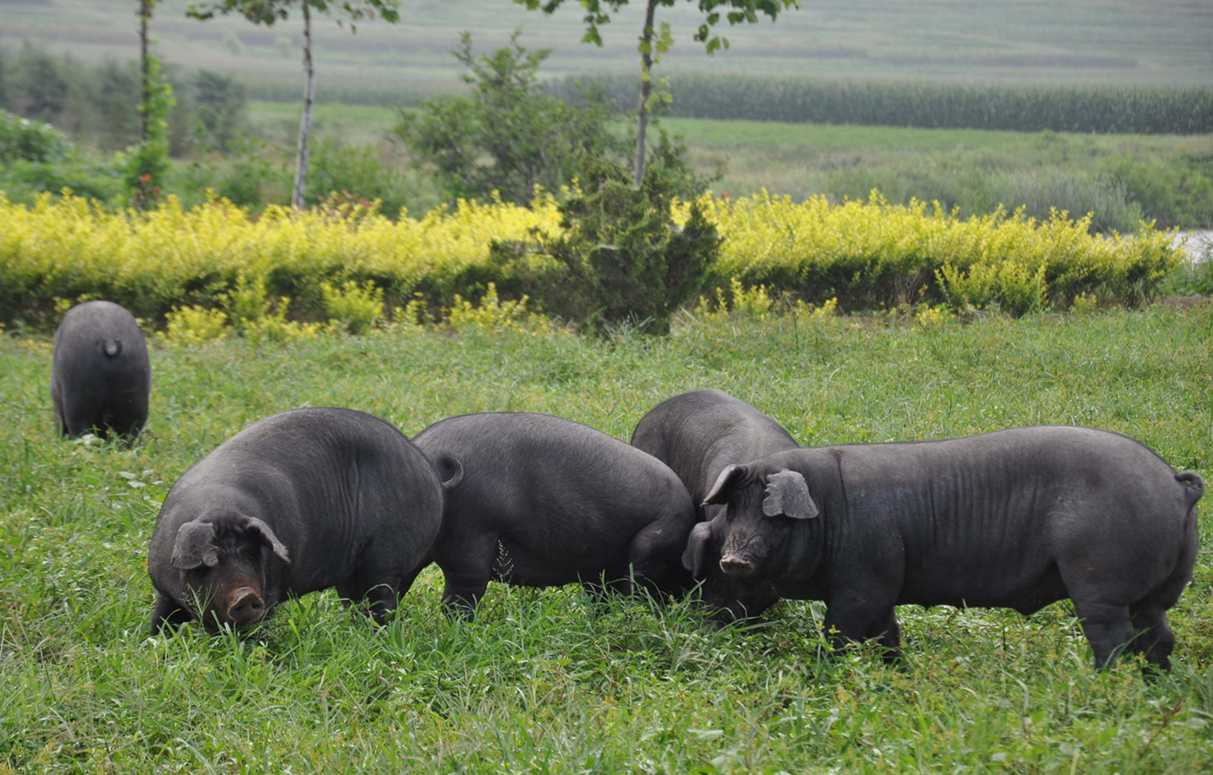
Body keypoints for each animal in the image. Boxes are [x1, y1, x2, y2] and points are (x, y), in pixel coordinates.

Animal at [146, 409, 441, 635]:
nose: (246, 595)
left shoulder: (271, 591)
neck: (219, 506)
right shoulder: (164, 589)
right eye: (211, 562)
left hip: (387, 560)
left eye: (250, 553)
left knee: (382, 600)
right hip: (351, 574)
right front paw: (154, 641)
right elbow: (161, 617)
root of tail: (428, 470)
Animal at [708, 426, 1198, 669]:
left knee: (1112, 638)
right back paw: (1155, 683)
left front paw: (822, 674)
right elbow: (888, 634)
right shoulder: (882, 585)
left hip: (1100, 580)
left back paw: (1101, 683)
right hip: (1155, 592)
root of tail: (1177, 483)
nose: (732, 559)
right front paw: (898, 674)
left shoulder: (864, 582)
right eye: (734, 509)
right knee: (1159, 635)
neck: (831, 509)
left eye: (774, 515)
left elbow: (839, 634)